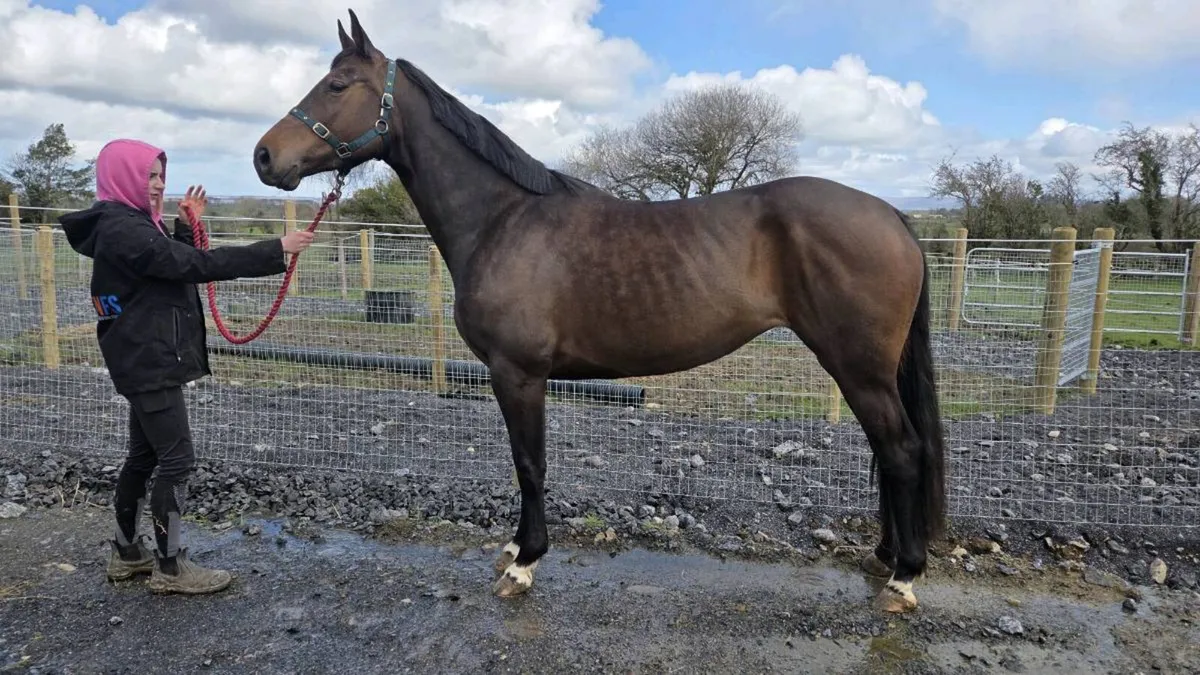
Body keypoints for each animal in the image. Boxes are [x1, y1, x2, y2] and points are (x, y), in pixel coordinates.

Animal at [251, 9, 947, 613]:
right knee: (888, 450)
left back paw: (904, 578)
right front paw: (515, 547)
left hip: (857, 367)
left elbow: (529, 464)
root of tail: (892, 215)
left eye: (338, 84)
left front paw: (525, 562)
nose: (263, 156)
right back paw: (887, 556)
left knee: (901, 450)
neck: (503, 220)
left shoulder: (518, 374)